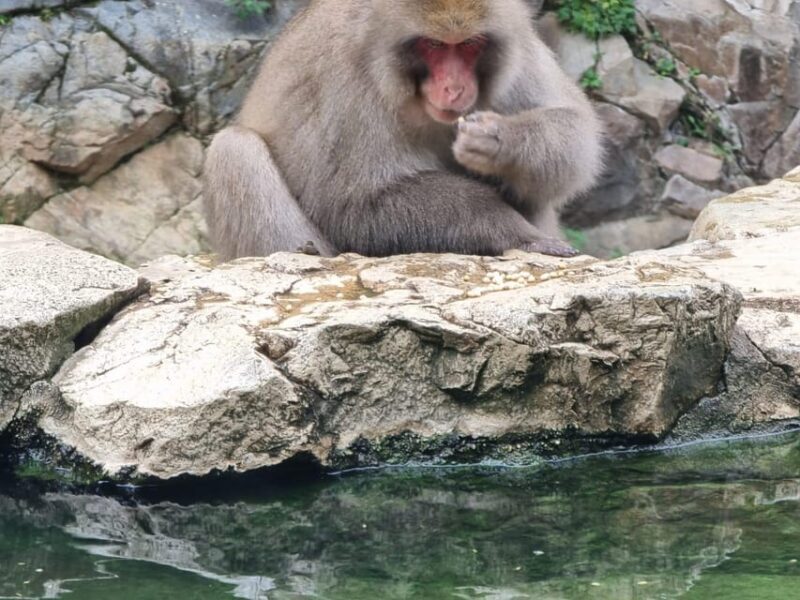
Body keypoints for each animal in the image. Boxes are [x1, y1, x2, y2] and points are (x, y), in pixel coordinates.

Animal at [204, 0, 603, 260]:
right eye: (434, 44)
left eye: (469, 45)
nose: (454, 88)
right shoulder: (345, 78)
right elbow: (353, 204)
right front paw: (516, 234)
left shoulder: (519, 47)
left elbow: (576, 127)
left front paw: (500, 141)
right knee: (234, 148)